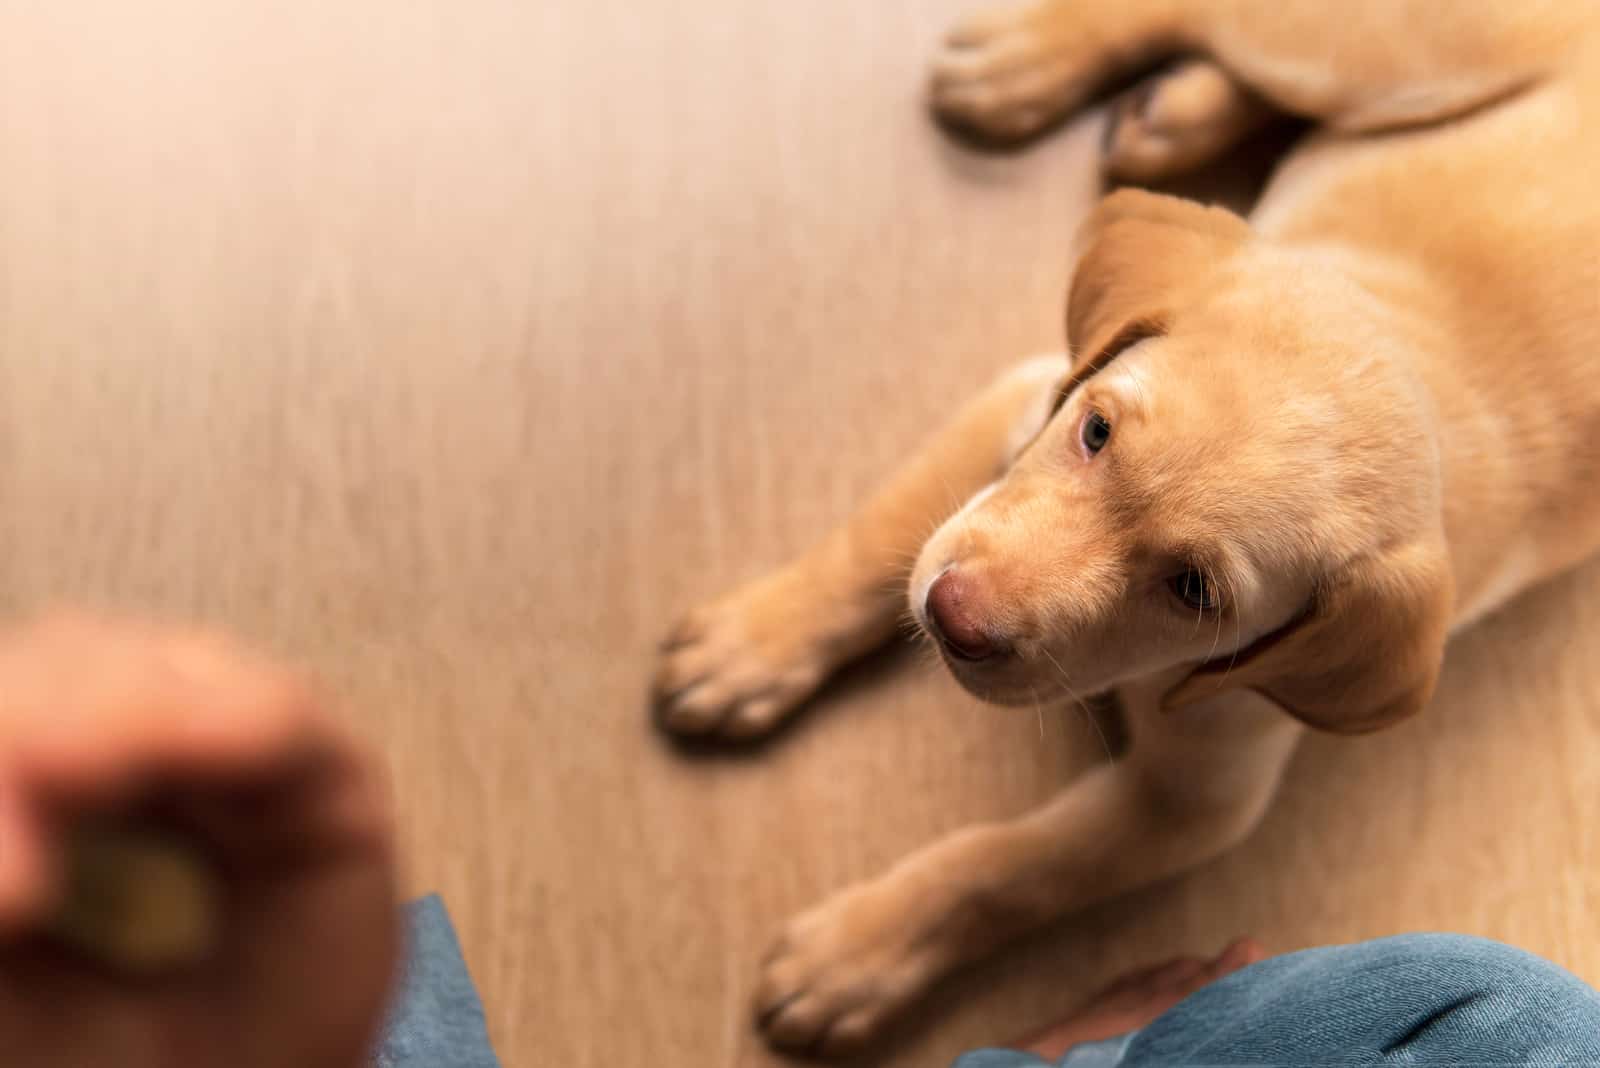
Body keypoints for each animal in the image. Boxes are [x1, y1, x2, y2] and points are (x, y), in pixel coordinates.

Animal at [649, 0, 1600, 1048]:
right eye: (1095, 431)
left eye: (1195, 592)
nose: (950, 617)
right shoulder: (1027, 399)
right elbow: (874, 543)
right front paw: (750, 646)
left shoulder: (1189, 796)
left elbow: (1006, 870)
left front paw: (856, 955)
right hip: (1385, 53)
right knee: (1224, 21)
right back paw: (1031, 65)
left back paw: (1167, 113)